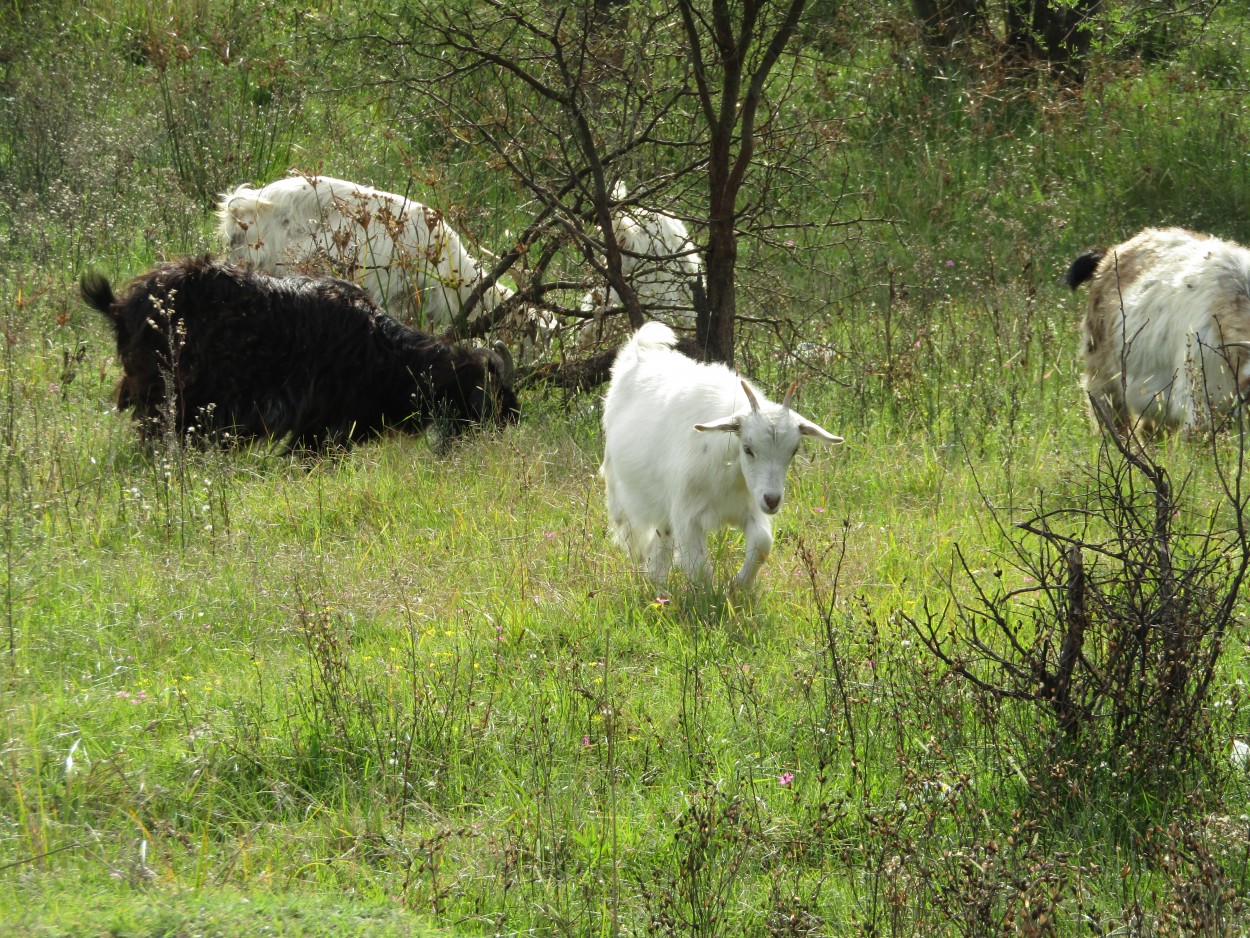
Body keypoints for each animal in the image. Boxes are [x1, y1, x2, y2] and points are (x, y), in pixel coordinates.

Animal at [79, 255, 517, 450]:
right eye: (488, 393)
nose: (513, 421)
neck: (385, 353)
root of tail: (119, 305)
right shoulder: (322, 428)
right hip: (165, 400)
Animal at [602, 320, 845, 590]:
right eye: (748, 448)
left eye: (793, 450)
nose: (772, 500)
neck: (731, 472)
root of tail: (637, 351)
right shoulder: (687, 515)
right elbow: (698, 568)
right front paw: (710, 596)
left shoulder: (750, 505)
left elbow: (762, 543)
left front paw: (738, 585)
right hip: (620, 492)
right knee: (633, 537)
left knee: (661, 540)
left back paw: (657, 580)